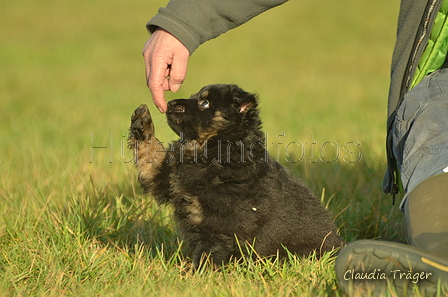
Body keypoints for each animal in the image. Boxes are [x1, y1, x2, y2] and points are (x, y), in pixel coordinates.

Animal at [128, 84, 344, 268]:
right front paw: (142, 122)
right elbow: (150, 154)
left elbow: (207, 255)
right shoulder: (165, 179)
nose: (171, 103)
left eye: (205, 103)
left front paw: (193, 277)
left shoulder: (220, 226)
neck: (213, 151)